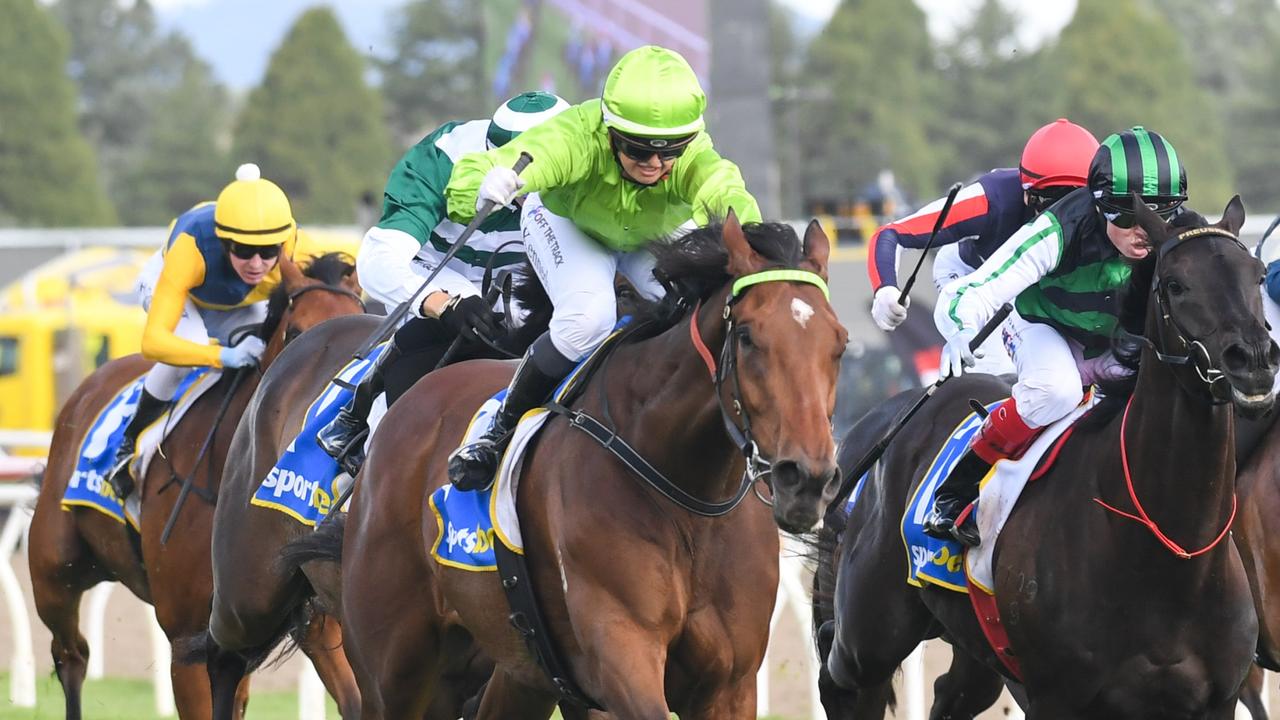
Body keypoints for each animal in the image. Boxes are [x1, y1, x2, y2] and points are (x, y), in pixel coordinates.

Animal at [288, 213, 849, 717]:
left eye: (840, 343)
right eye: (749, 336)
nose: (807, 478)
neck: (689, 499)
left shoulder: (728, 683)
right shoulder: (620, 657)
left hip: (516, 667)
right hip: (394, 663)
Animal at [819, 194, 1280, 712]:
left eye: (1256, 275)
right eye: (1175, 284)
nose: (1253, 361)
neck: (1172, 552)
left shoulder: (1216, 699)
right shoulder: (1056, 694)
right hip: (872, 630)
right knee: (837, 669)